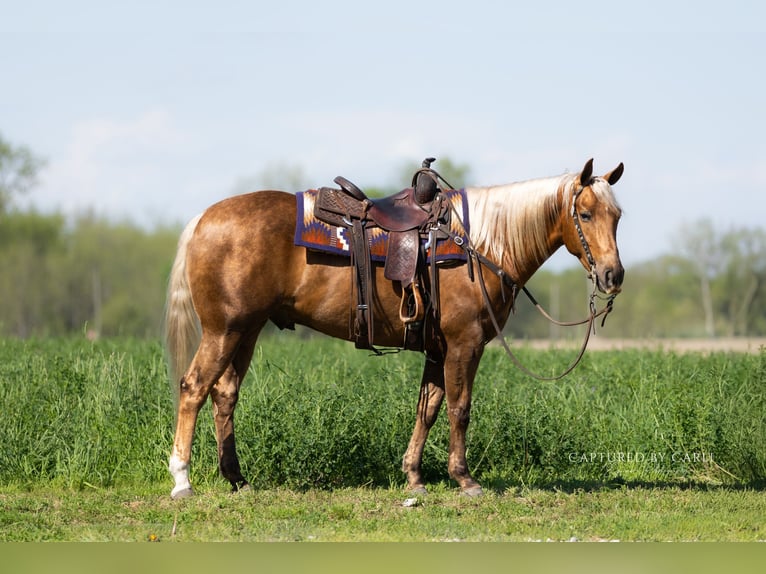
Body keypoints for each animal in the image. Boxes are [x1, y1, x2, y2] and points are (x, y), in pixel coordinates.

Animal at [164, 158, 624, 499]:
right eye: (585, 214)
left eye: (617, 215)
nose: (612, 275)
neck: (481, 245)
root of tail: (203, 218)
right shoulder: (465, 344)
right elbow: (459, 408)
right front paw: (465, 478)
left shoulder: (438, 348)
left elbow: (428, 408)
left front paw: (414, 477)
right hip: (224, 330)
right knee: (194, 388)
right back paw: (182, 479)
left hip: (246, 330)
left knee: (224, 393)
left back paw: (236, 479)